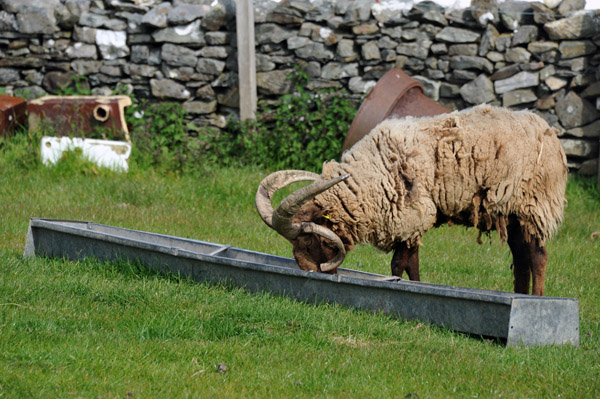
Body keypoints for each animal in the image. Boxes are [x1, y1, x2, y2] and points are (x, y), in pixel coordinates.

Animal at [256, 104, 568, 296]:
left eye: (308, 240)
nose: (311, 273)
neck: (369, 176)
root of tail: (550, 133)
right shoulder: (411, 221)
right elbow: (412, 263)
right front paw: (418, 287)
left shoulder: (411, 216)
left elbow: (398, 265)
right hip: (512, 214)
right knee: (522, 258)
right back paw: (521, 295)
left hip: (533, 205)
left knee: (538, 256)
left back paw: (538, 299)